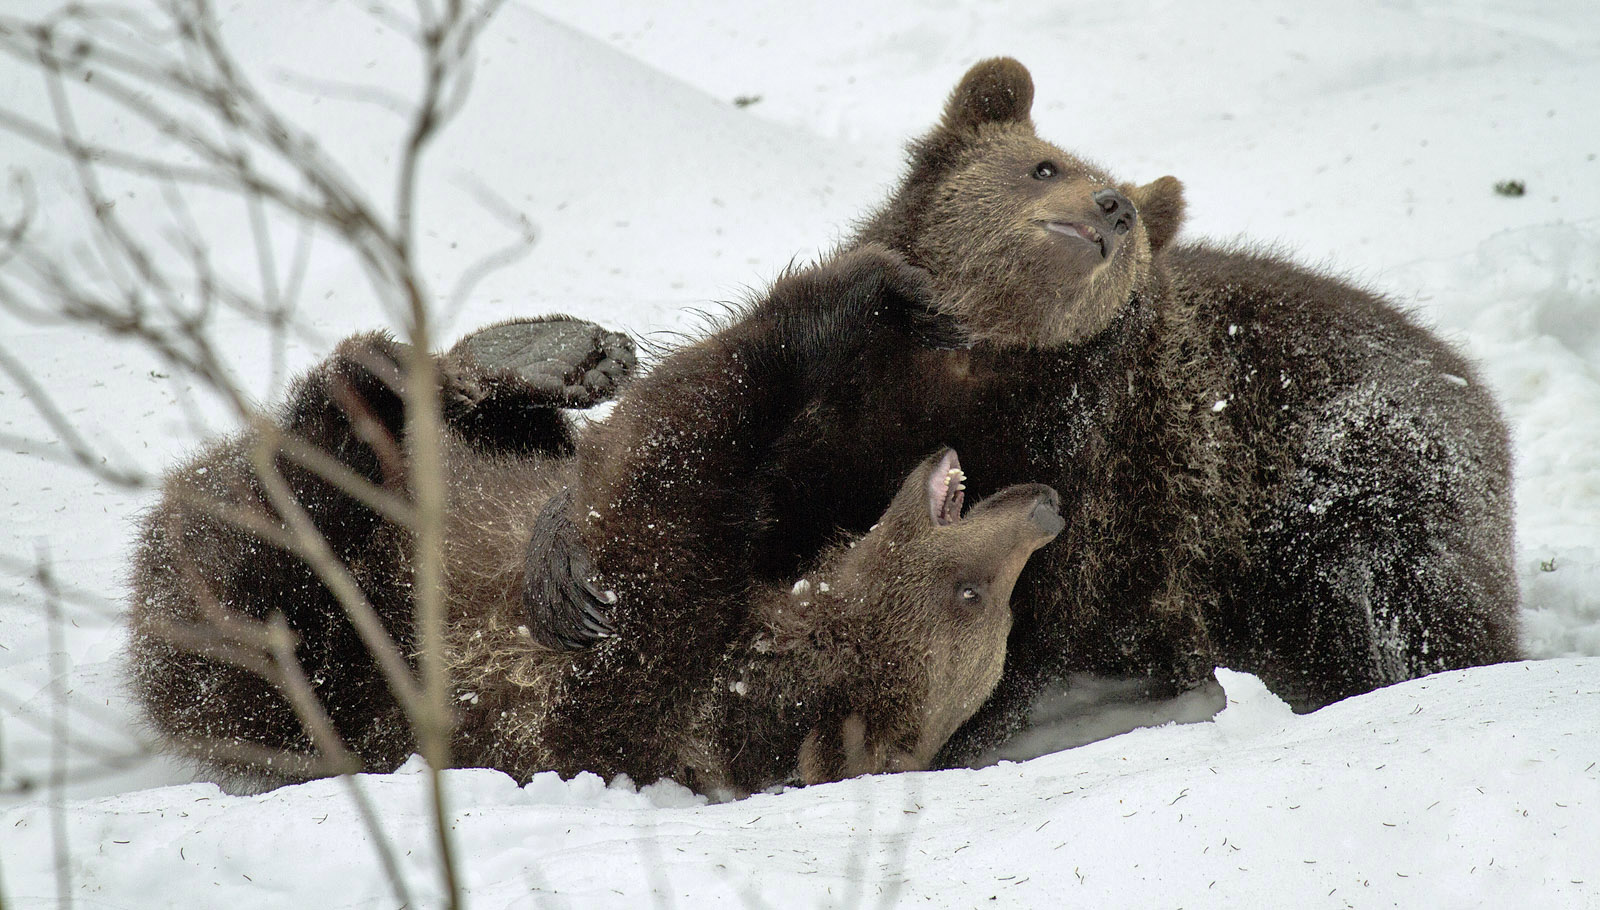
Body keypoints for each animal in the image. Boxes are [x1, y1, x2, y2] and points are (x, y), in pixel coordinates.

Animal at [531, 58, 1516, 767]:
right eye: (1042, 164)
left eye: (1125, 210)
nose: (1110, 207)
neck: (968, 369)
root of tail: (1468, 378)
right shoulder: (838, 418)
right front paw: (567, 568)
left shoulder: (1099, 481)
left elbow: (1023, 625)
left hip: (1352, 486)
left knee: (1401, 610)